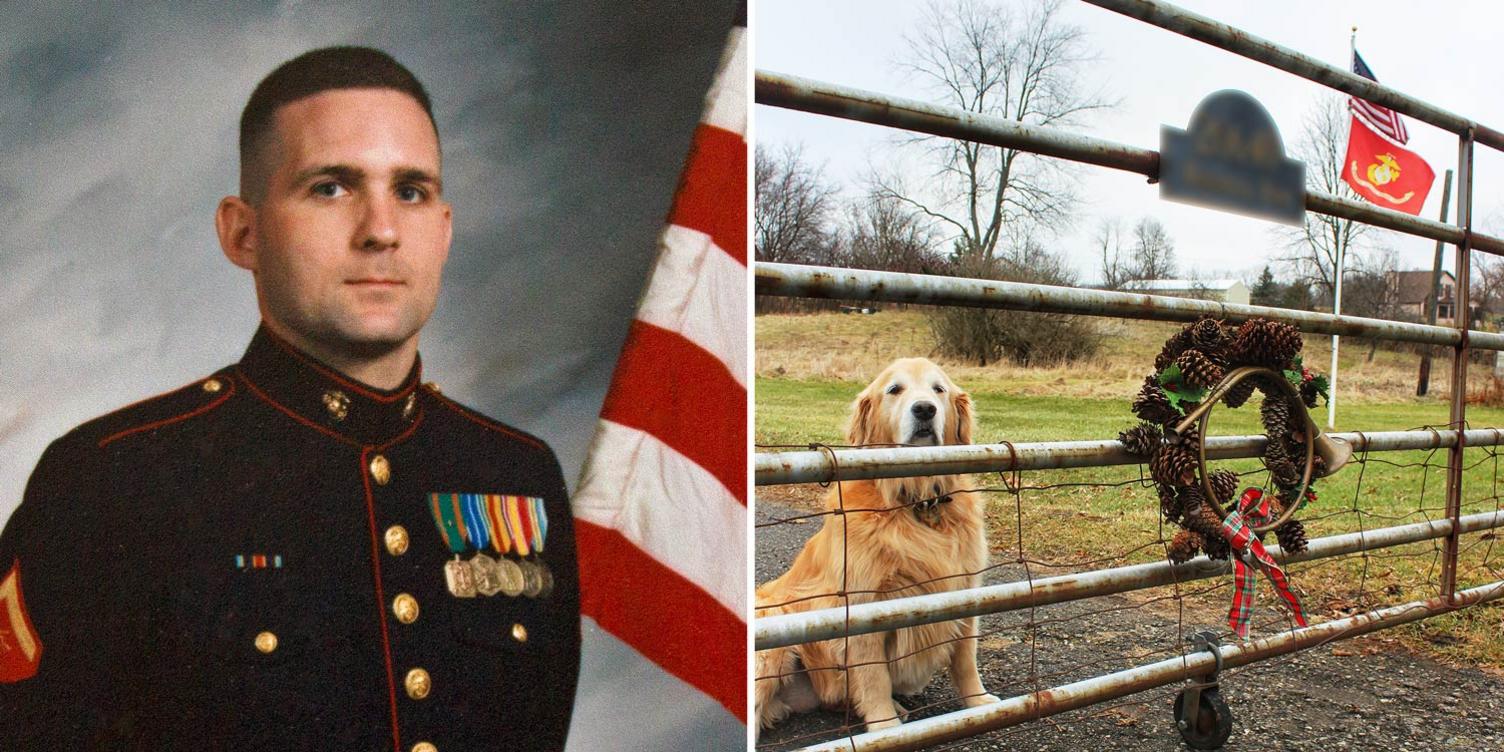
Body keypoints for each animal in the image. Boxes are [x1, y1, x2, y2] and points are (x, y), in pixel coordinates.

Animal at [752, 357, 998, 733]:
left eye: (938, 389)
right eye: (894, 389)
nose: (924, 409)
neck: (917, 503)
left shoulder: (965, 592)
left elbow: (965, 660)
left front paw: (980, 704)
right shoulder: (863, 608)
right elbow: (873, 677)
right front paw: (885, 728)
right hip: (773, 640)